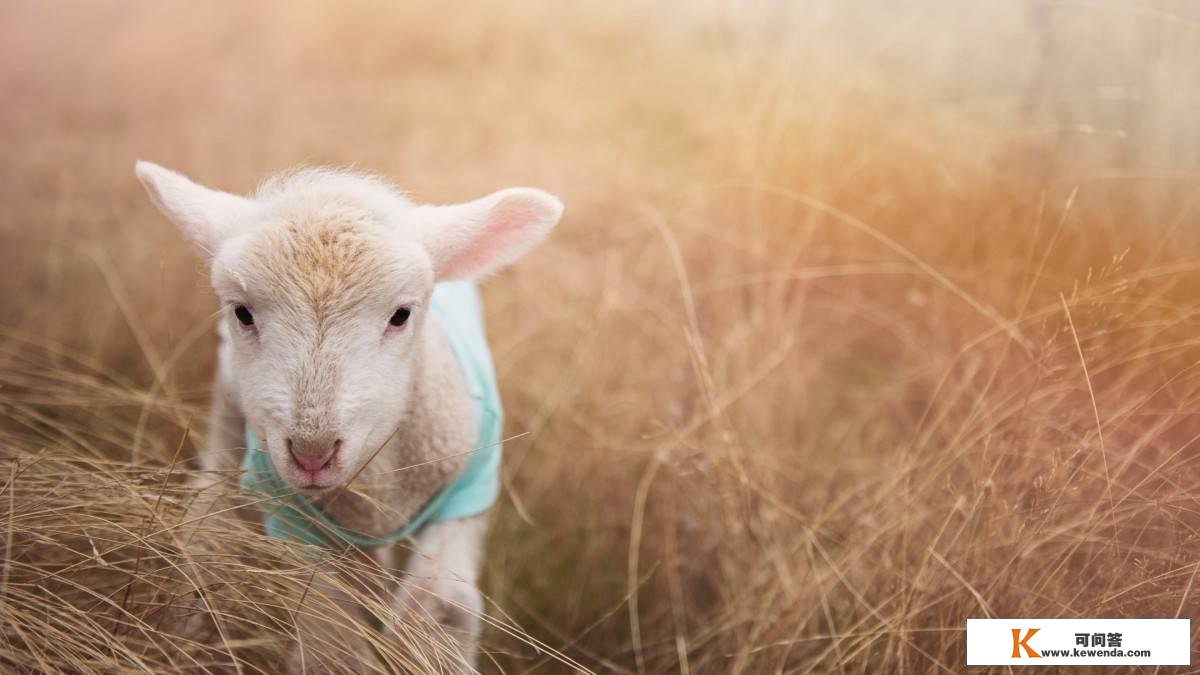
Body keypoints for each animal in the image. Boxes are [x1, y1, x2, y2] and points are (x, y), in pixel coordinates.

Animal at [133, 159, 564, 667]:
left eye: (401, 315)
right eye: (242, 313)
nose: (312, 452)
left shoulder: (465, 495)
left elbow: (441, 612)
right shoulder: (304, 524)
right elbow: (329, 642)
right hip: (228, 421)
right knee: (211, 524)